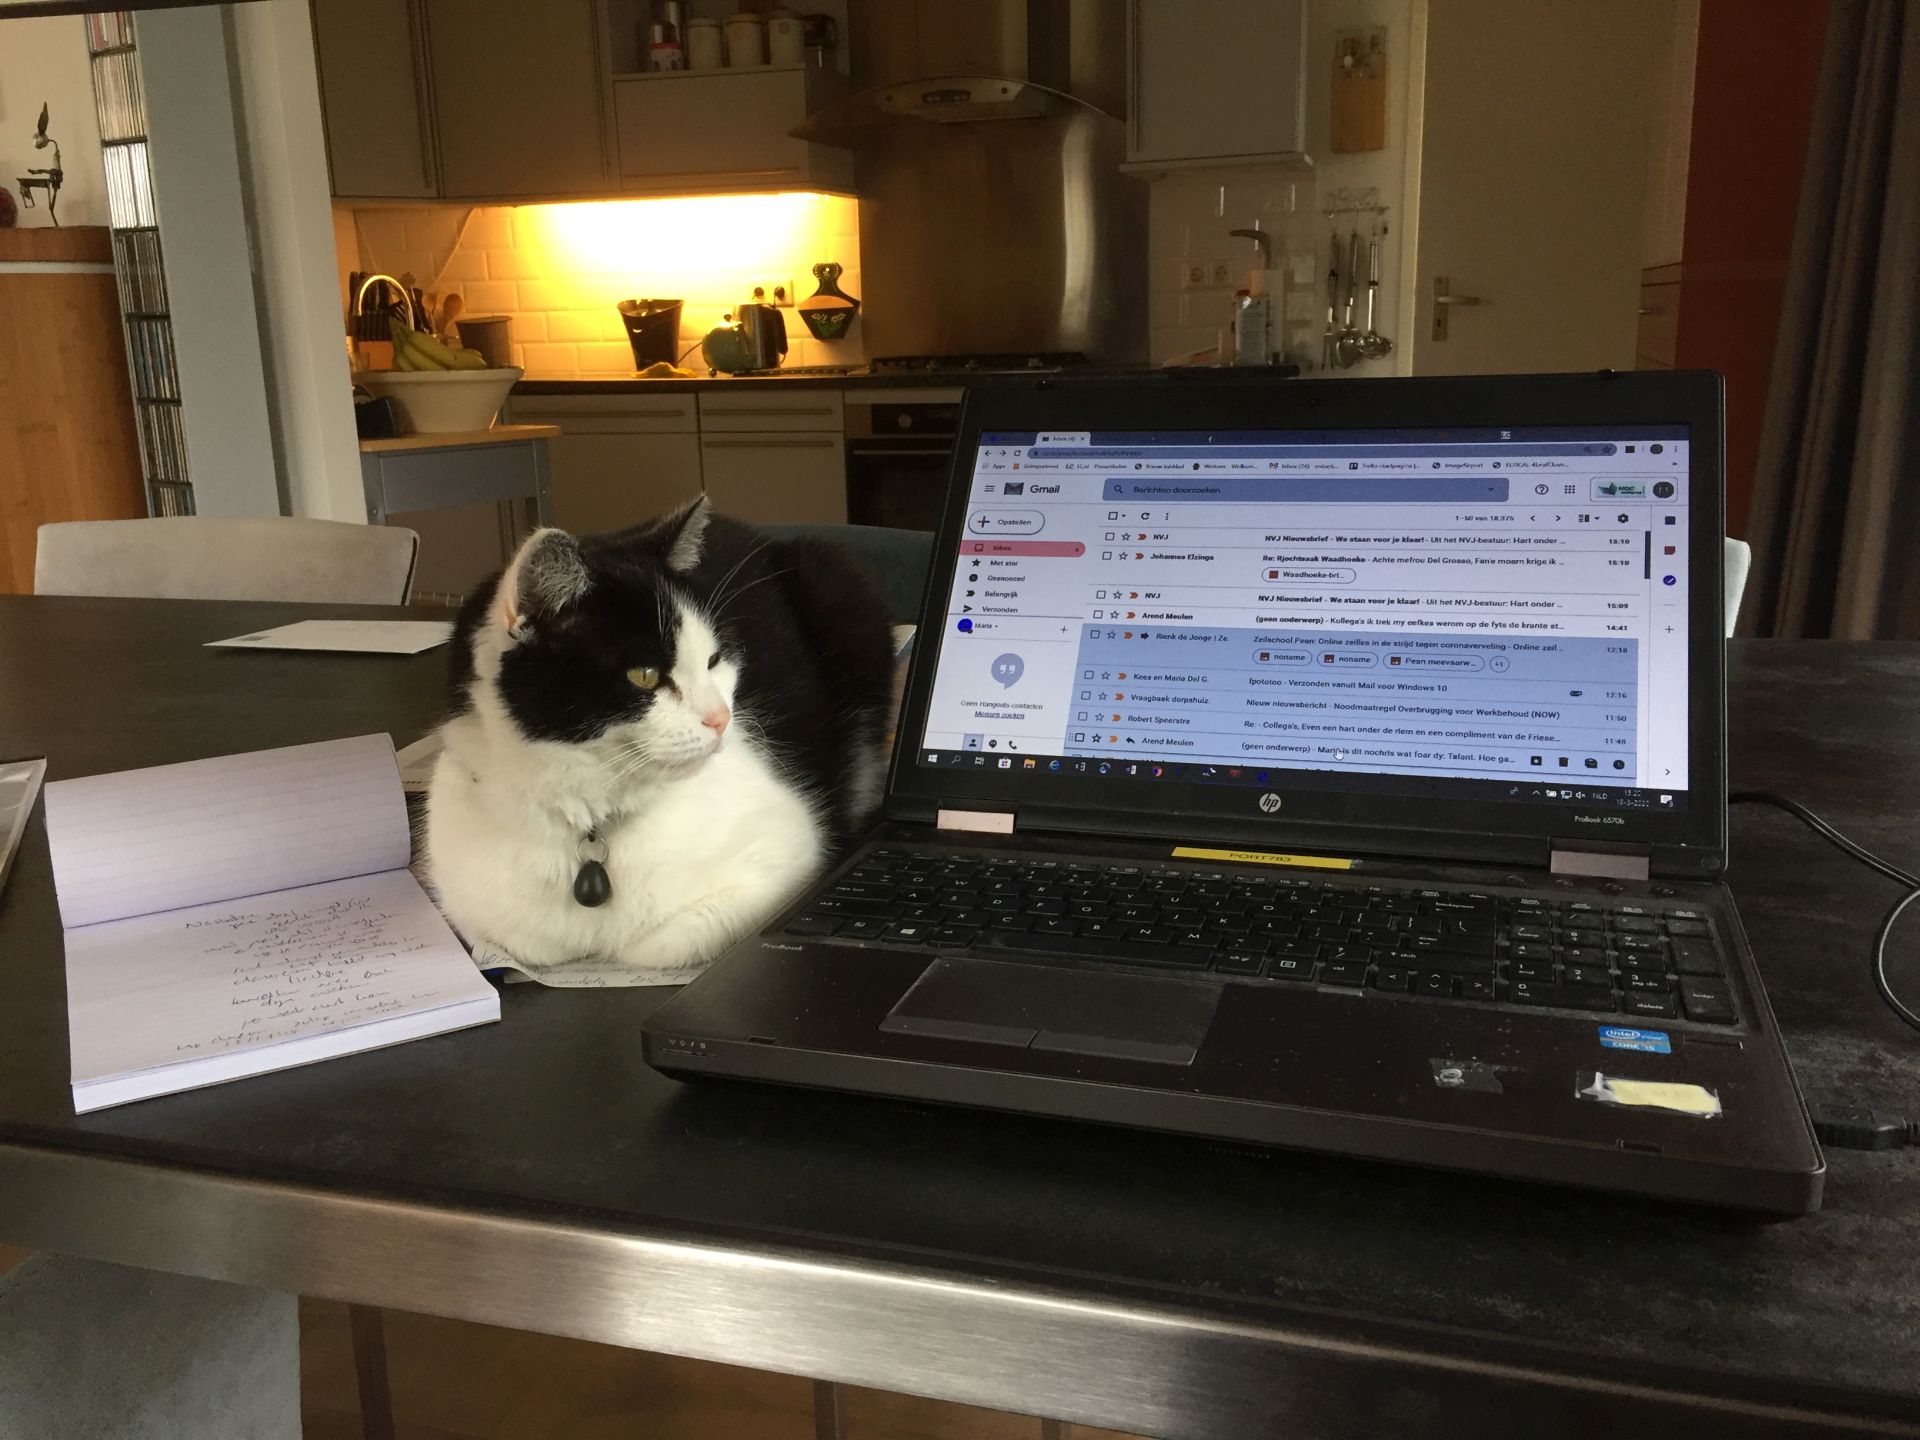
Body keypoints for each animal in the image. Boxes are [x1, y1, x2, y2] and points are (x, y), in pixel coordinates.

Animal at [425, 497, 895, 978]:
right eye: (645, 675)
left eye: (713, 660)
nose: (722, 718)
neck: (591, 828)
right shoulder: (472, 904)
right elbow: (527, 941)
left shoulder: (790, 854)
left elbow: (663, 940)